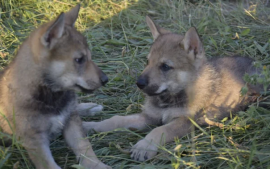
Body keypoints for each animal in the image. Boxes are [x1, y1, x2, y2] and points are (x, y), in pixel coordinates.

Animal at [0, 3, 110, 169]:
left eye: (89, 57)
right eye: (79, 59)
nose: (105, 79)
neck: (50, 94)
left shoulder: (71, 122)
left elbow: (84, 147)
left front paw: (97, 165)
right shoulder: (35, 141)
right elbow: (50, 165)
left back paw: (90, 107)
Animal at [83, 16, 262, 162]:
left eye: (165, 66)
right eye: (147, 62)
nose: (139, 83)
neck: (169, 98)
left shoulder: (185, 122)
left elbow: (160, 130)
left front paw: (144, 146)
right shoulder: (149, 116)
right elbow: (116, 120)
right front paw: (90, 125)